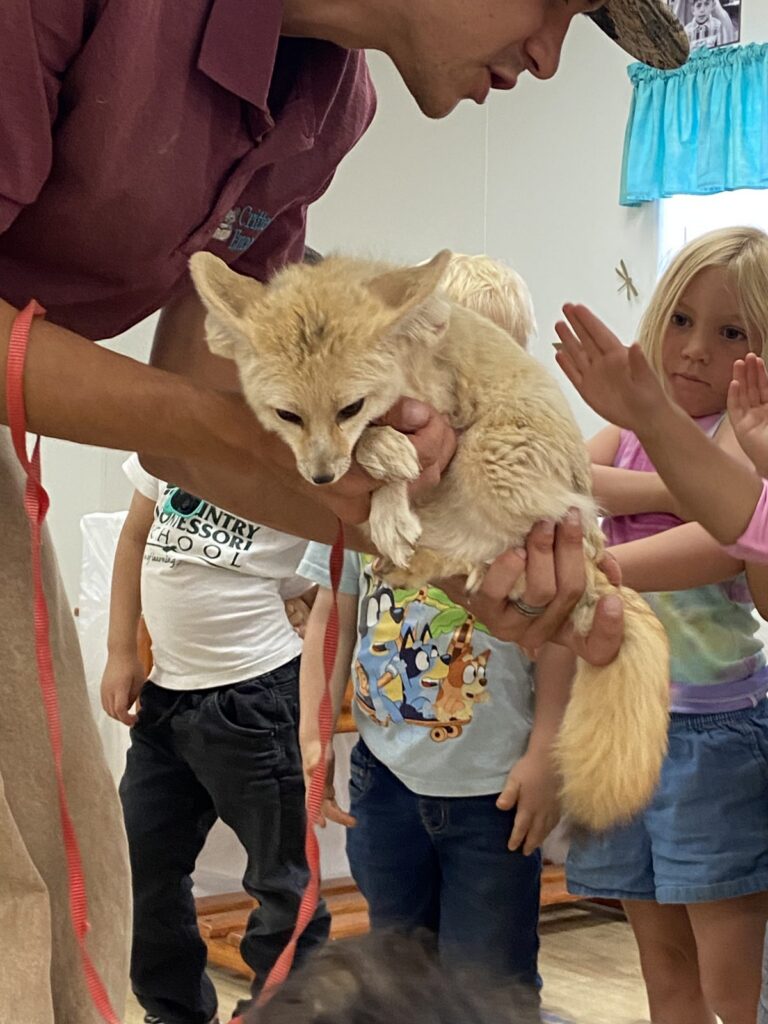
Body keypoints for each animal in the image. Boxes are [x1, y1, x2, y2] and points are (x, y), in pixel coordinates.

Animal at [189, 248, 670, 832]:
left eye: (350, 408)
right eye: (287, 415)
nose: (322, 479)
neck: (411, 368)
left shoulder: (437, 415)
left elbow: (394, 457)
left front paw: (387, 472)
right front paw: (383, 476)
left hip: (492, 457)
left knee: (512, 536)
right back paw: (413, 560)